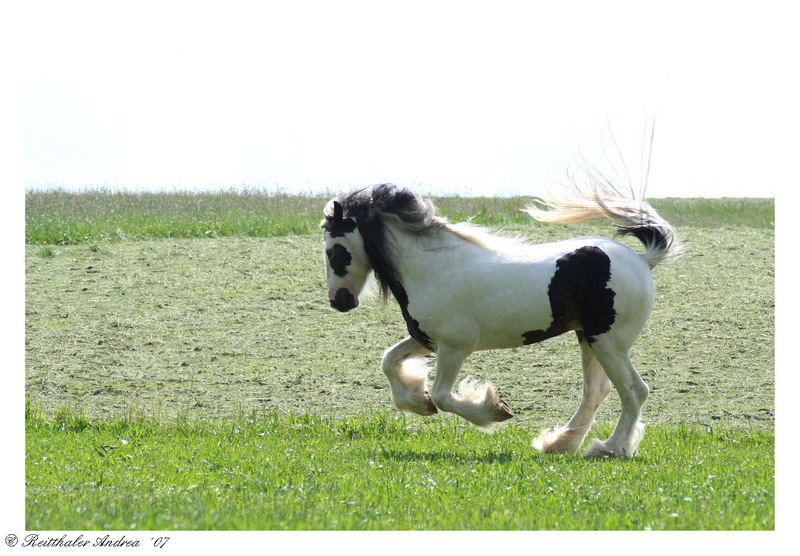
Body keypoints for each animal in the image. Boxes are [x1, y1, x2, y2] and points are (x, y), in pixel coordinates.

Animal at [318, 180, 680, 458]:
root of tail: (642, 260)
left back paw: (610, 449)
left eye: (333, 250)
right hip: (589, 338)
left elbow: (443, 395)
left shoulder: (455, 346)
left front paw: (494, 409)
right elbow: (389, 361)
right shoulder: (428, 339)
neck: (433, 267)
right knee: (596, 391)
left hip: (609, 342)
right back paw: (559, 444)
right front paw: (419, 403)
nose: (339, 301)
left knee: (634, 390)